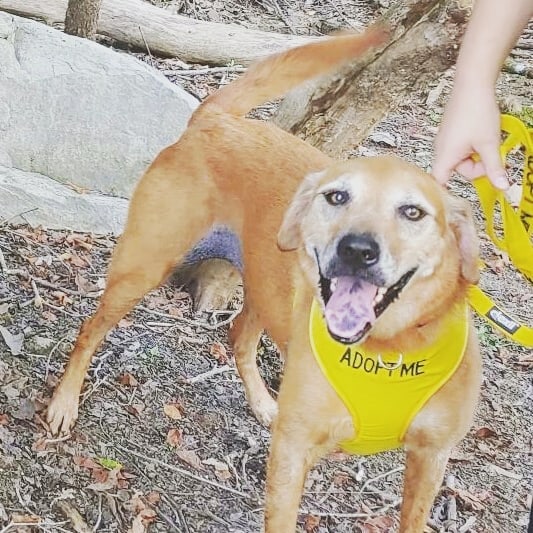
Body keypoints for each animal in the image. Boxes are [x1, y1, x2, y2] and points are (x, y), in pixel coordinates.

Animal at [46, 28, 482, 532]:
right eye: (336, 197)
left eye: (413, 212)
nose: (355, 250)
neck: (387, 352)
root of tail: (216, 119)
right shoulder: (293, 453)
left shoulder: (431, 457)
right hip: (143, 267)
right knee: (89, 330)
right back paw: (63, 404)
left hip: (265, 287)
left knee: (238, 336)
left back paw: (261, 401)